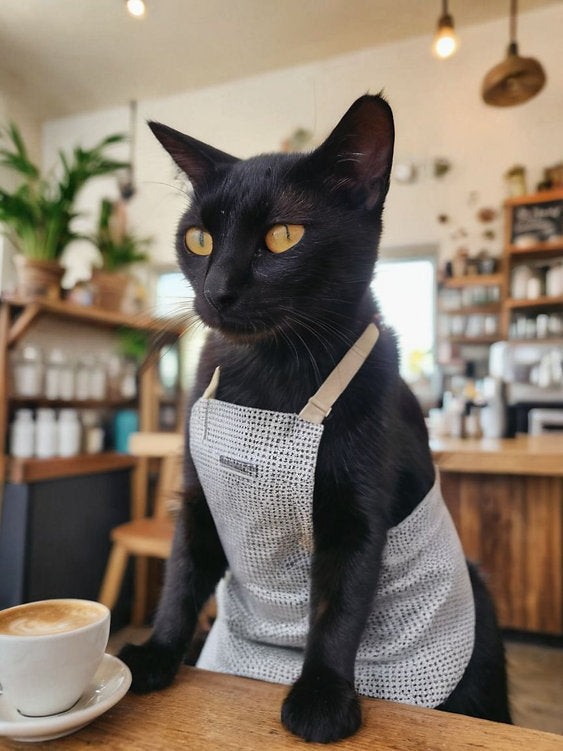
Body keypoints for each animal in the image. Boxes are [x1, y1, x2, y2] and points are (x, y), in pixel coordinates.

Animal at [121, 97, 512, 744]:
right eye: (199, 238)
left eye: (283, 236)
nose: (217, 289)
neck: (271, 377)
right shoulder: (200, 497)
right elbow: (180, 576)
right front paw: (156, 653)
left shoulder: (355, 517)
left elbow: (338, 607)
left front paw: (322, 697)